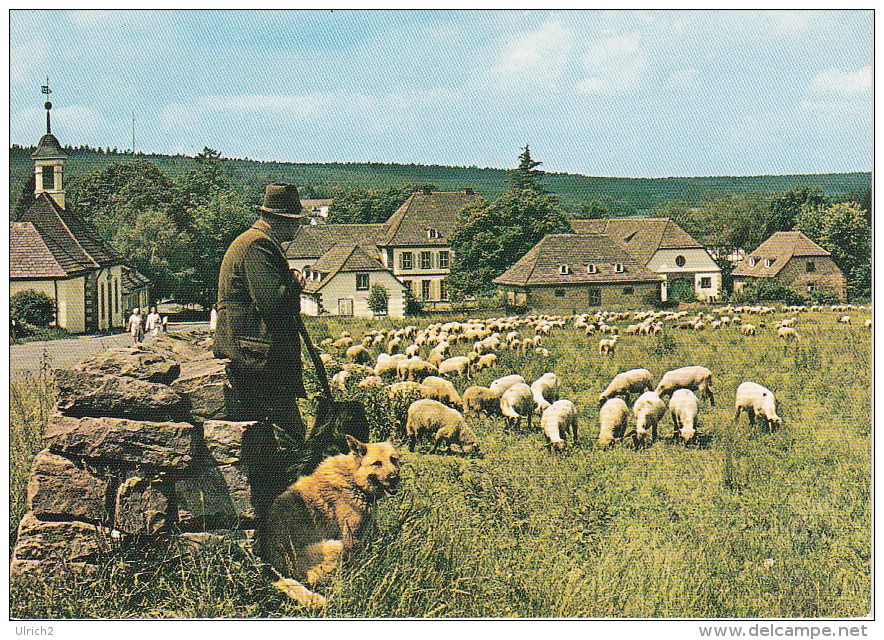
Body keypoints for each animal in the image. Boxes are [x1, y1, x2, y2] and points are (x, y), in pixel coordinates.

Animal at [262, 432, 400, 608]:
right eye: (377, 463)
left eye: (393, 459)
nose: (394, 478)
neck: (354, 480)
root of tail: (275, 571)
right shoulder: (350, 539)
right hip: (336, 546)